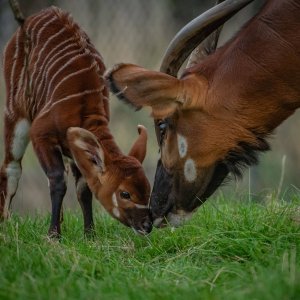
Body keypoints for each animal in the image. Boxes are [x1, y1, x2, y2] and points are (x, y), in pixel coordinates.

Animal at [0, 1, 152, 237]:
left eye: (148, 189)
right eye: (125, 193)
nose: (147, 225)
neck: (84, 107)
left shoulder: (76, 150)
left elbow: (83, 188)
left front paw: (89, 234)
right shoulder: (41, 134)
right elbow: (58, 181)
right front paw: (53, 235)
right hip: (16, 113)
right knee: (11, 166)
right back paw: (5, 225)